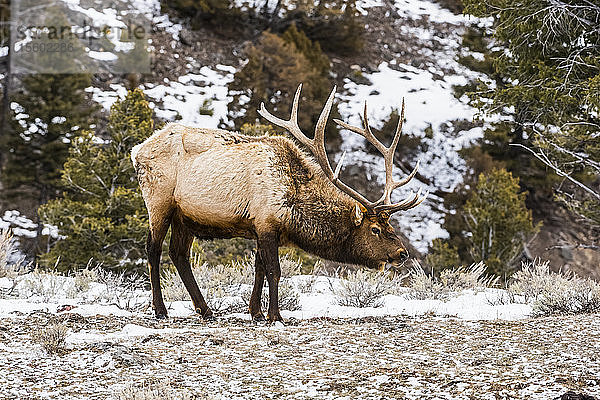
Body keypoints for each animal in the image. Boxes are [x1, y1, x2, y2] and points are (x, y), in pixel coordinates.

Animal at [134, 84, 426, 322]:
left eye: (391, 228)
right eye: (375, 229)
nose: (402, 253)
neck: (295, 207)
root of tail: (136, 150)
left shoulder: (259, 227)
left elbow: (259, 268)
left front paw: (256, 312)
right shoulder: (266, 222)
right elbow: (274, 270)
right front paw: (275, 315)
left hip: (185, 216)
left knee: (179, 254)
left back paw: (205, 310)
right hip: (158, 201)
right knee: (153, 249)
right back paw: (160, 309)